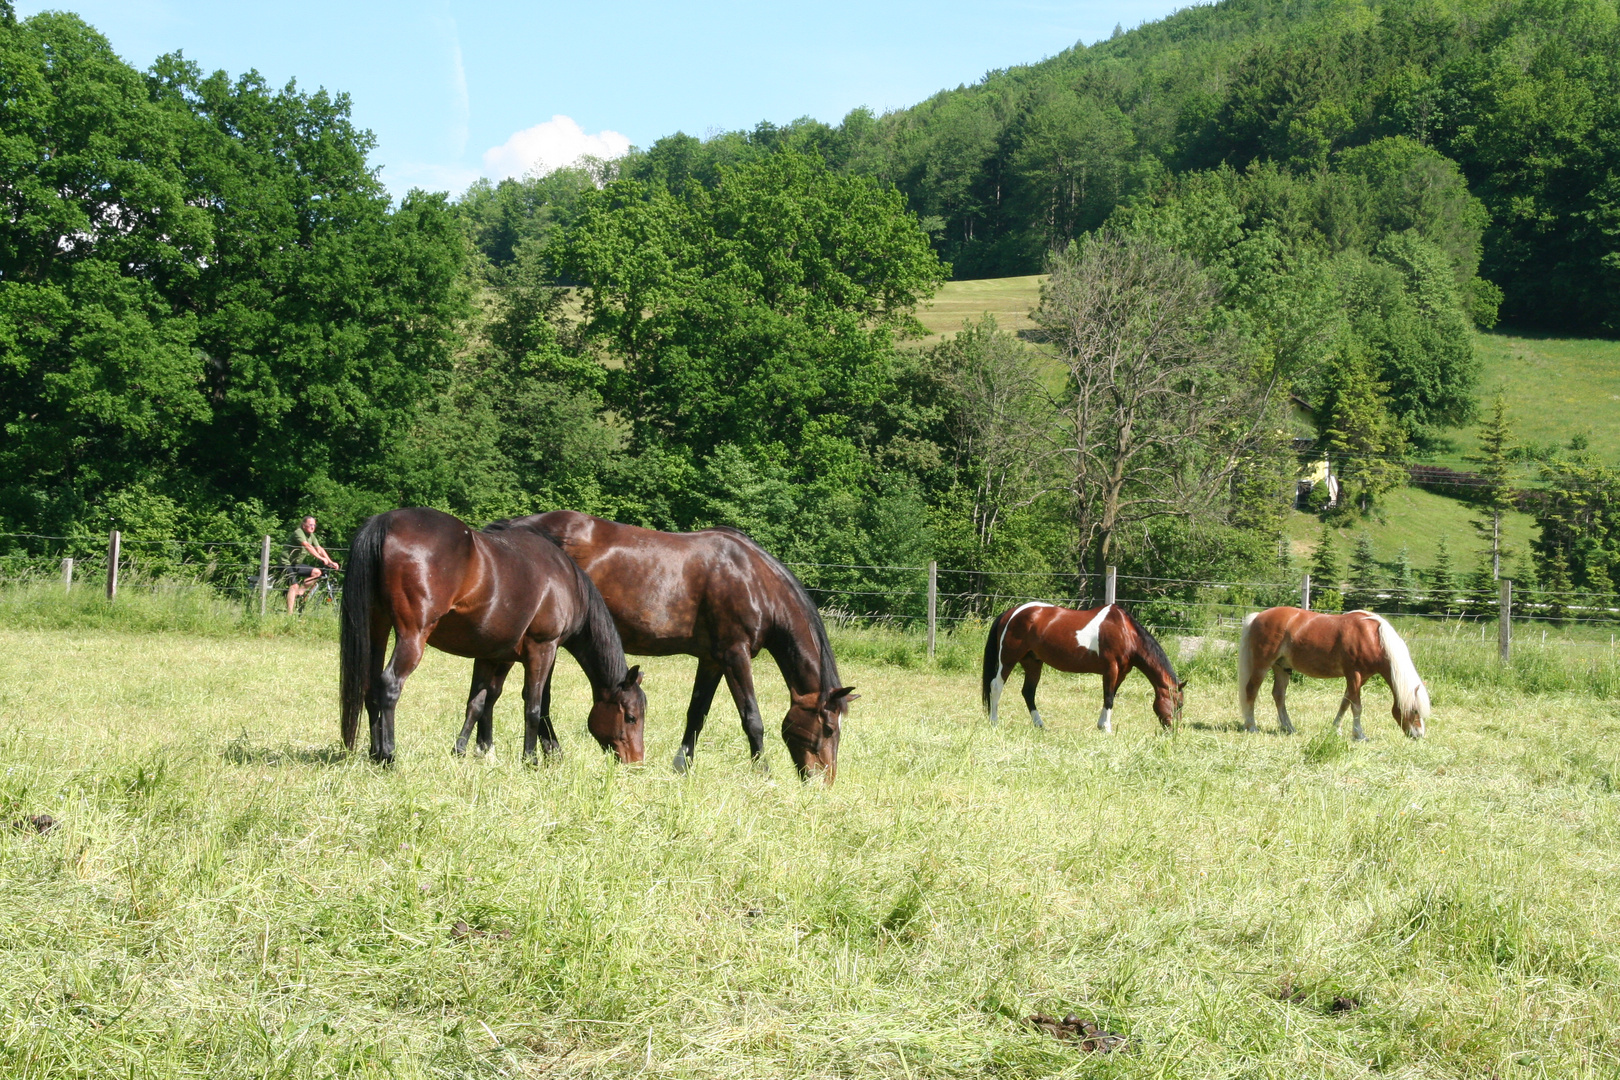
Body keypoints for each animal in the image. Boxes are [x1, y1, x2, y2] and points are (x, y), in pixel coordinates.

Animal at [336, 511, 644, 764]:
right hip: (412, 636)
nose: (636, 762)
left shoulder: (493, 655)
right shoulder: (543, 649)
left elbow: (479, 701)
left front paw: (465, 750)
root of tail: (385, 521)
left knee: (370, 687)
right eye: (631, 717)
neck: (567, 582)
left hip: (377, 629)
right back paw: (388, 754)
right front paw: (532, 758)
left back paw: (375, 752)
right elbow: (534, 705)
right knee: (389, 685)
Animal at [515, 511, 861, 780]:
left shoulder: (712, 659)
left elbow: (697, 713)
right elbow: (752, 719)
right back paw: (552, 757)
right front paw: (764, 774)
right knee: (540, 698)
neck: (754, 580)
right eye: (829, 729)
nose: (824, 781)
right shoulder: (735, 655)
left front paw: (682, 767)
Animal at [978, 599, 1185, 735]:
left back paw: (1040, 725)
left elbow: (1110, 697)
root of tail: (1011, 612)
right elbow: (1109, 698)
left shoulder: (1121, 673)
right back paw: (994, 722)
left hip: (1033, 663)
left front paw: (1102, 725)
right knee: (996, 686)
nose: (1175, 731)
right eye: (1179, 704)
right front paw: (1107, 729)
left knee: (1028, 692)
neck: (1126, 632)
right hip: (1008, 658)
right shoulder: (1111, 669)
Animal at [1237, 608, 1432, 744]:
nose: (1419, 735)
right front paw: (1359, 735)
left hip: (1282, 668)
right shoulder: (1354, 675)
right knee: (1251, 691)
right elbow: (1356, 707)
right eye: (1415, 710)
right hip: (1262, 665)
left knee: (1279, 695)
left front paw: (1335, 730)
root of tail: (1258, 616)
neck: (1374, 638)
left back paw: (1289, 728)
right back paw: (1251, 726)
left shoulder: (1361, 678)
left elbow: (1345, 703)